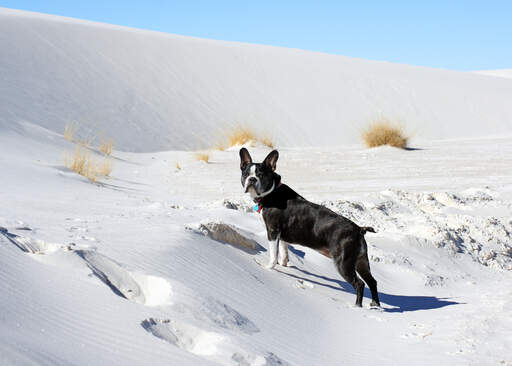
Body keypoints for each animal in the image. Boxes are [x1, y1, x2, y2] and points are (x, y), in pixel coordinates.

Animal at [240, 147, 380, 308]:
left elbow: (273, 254)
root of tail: (359, 229)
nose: (252, 179)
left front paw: (268, 267)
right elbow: (284, 250)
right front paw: (284, 264)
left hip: (343, 263)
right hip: (361, 261)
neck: (272, 192)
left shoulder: (273, 231)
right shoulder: (281, 235)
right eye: (246, 174)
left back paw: (357, 306)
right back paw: (375, 305)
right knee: (372, 281)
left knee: (359, 283)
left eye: (261, 176)